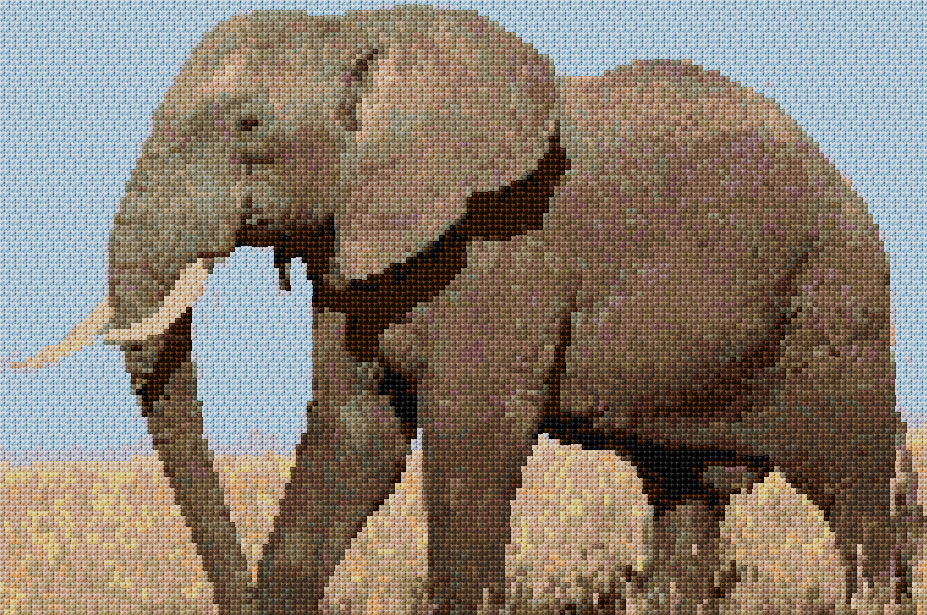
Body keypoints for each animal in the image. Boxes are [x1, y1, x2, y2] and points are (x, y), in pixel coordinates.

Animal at [11, 5, 923, 614]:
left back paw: (878, 594)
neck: (358, 32)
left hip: (833, 299)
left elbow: (470, 429)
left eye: (250, 125)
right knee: (681, 488)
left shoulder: (507, 249)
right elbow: (356, 433)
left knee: (853, 475)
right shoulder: (356, 249)